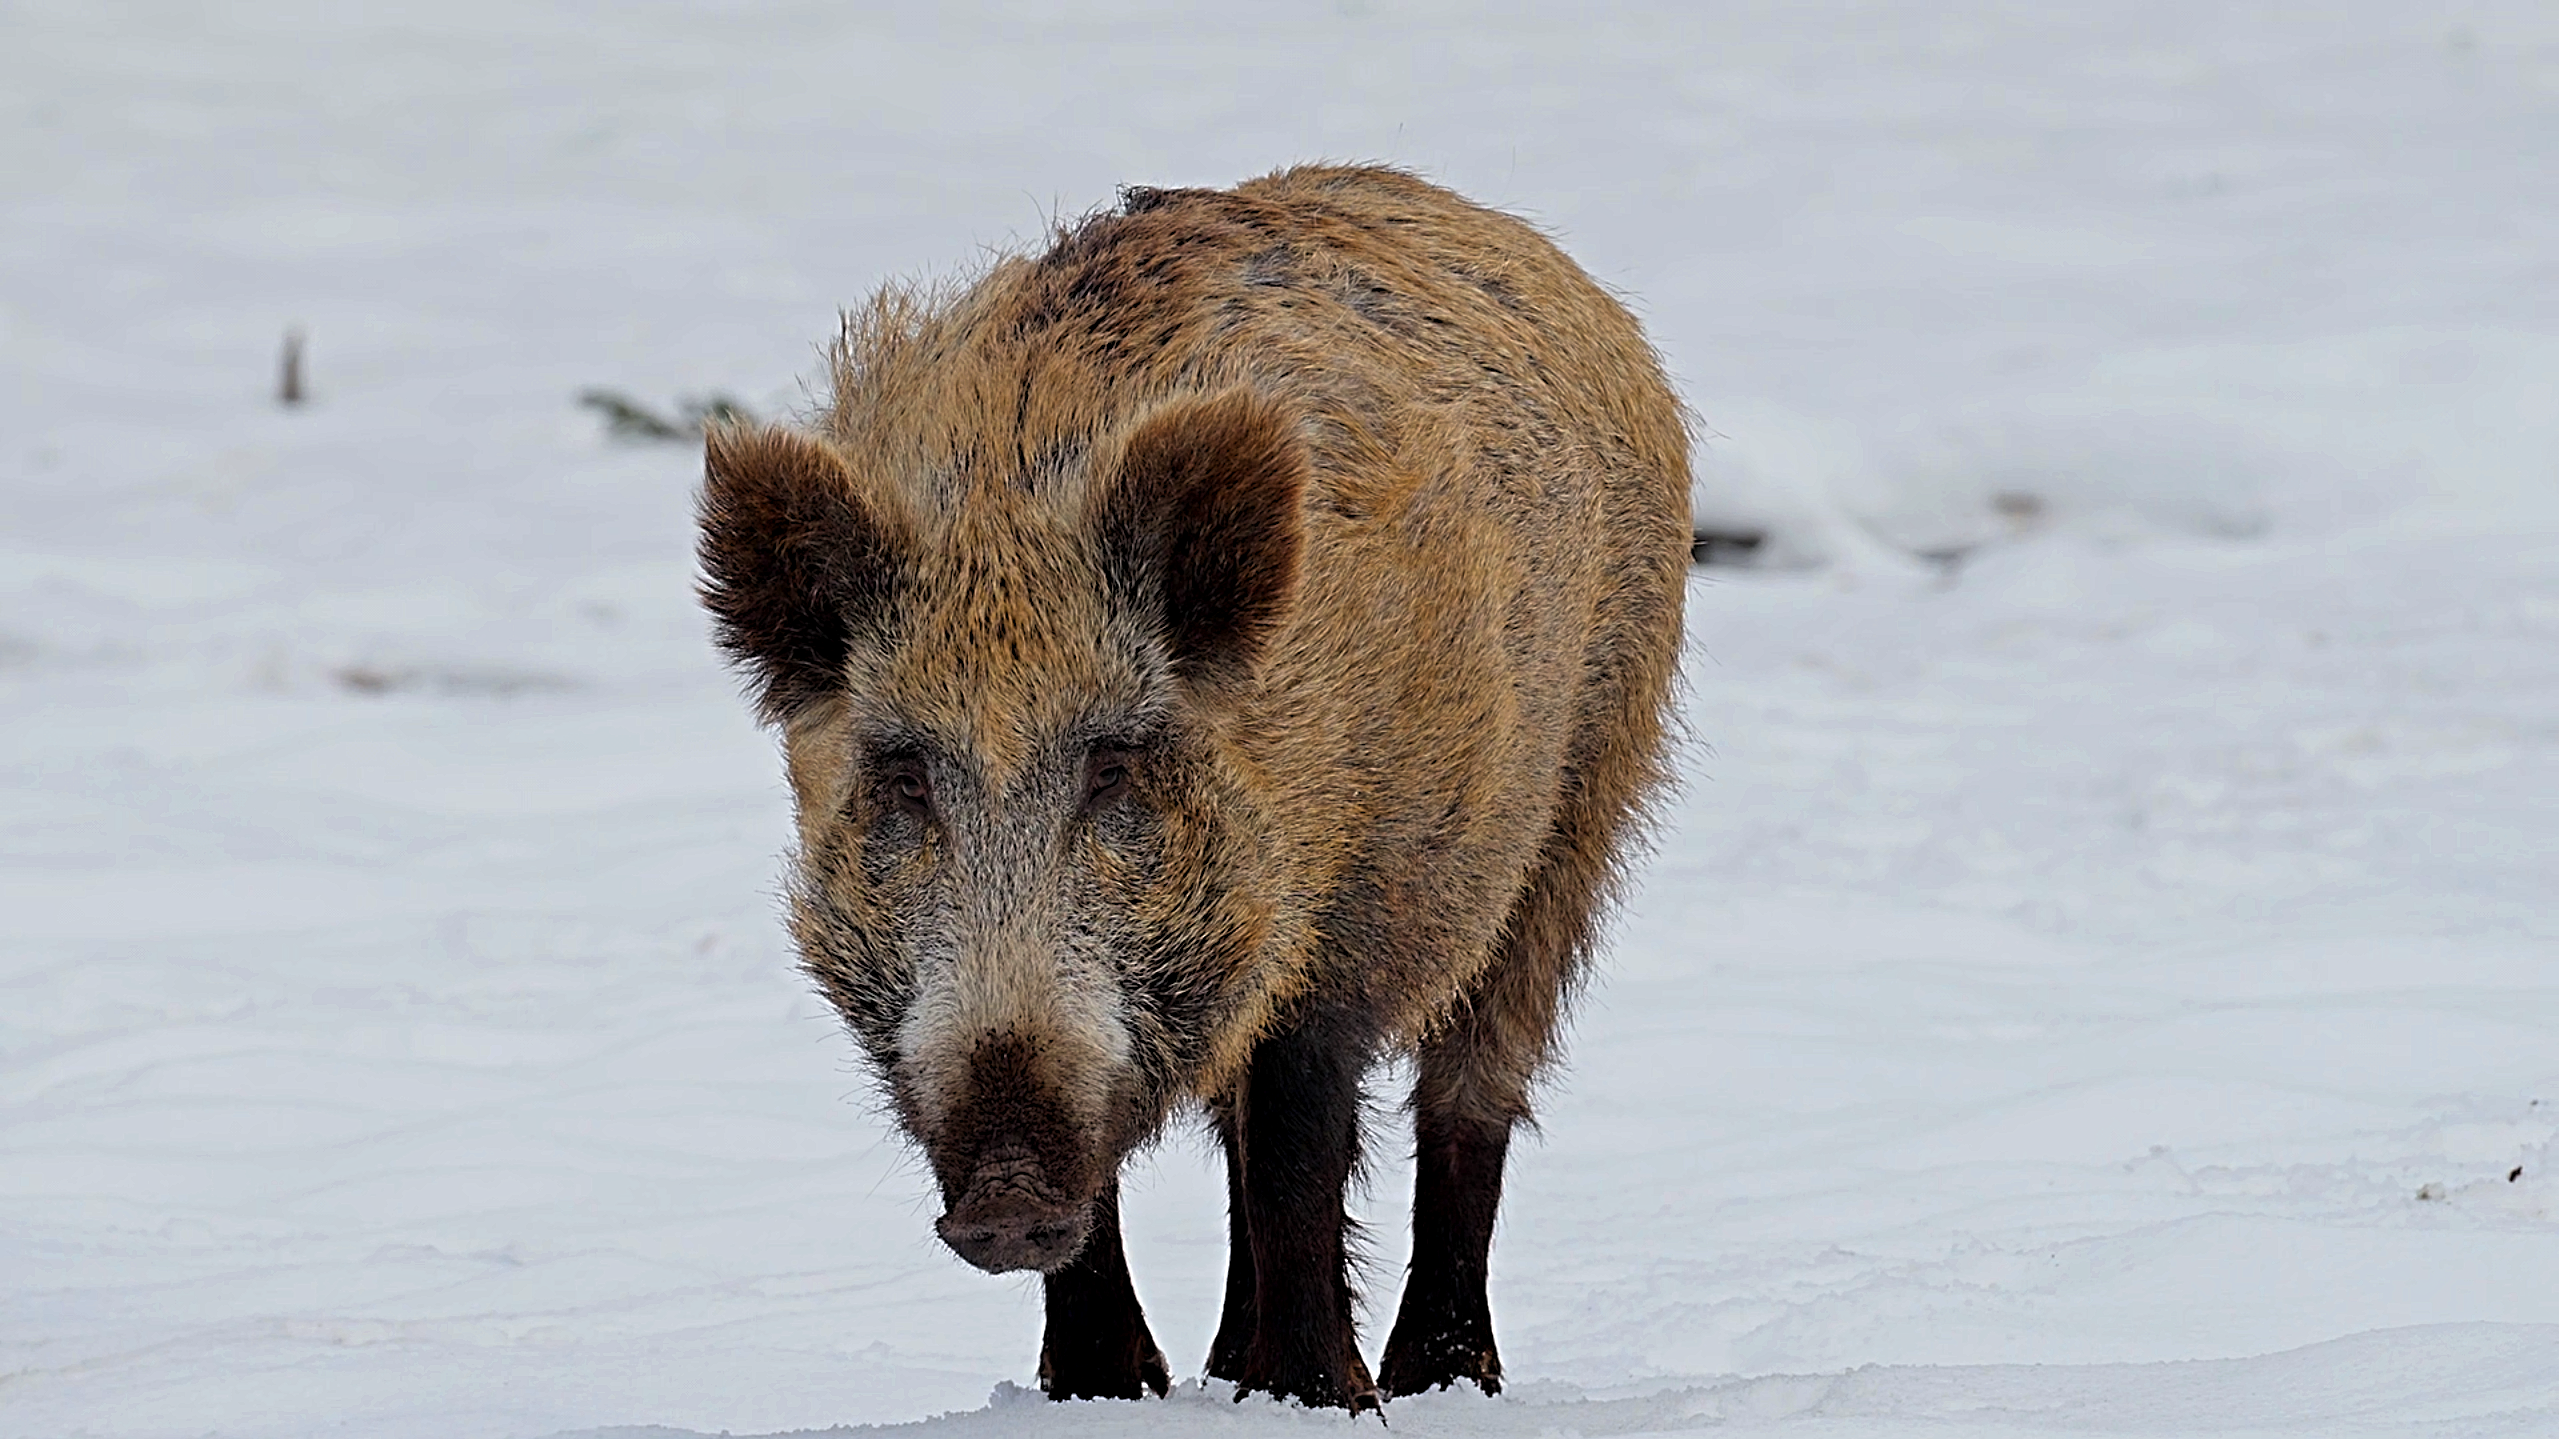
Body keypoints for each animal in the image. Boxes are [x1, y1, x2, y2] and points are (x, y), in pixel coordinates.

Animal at [696, 164, 1689, 1412]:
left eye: (1116, 761)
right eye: (906, 771)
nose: (1005, 1193)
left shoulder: (1349, 913)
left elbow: (1301, 1150)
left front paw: (1324, 1400)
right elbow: (1142, 1192)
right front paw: (1101, 1393)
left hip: (1582, 809)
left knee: (1471, 1092)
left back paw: (1439, 1377)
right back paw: (1225, 1363)